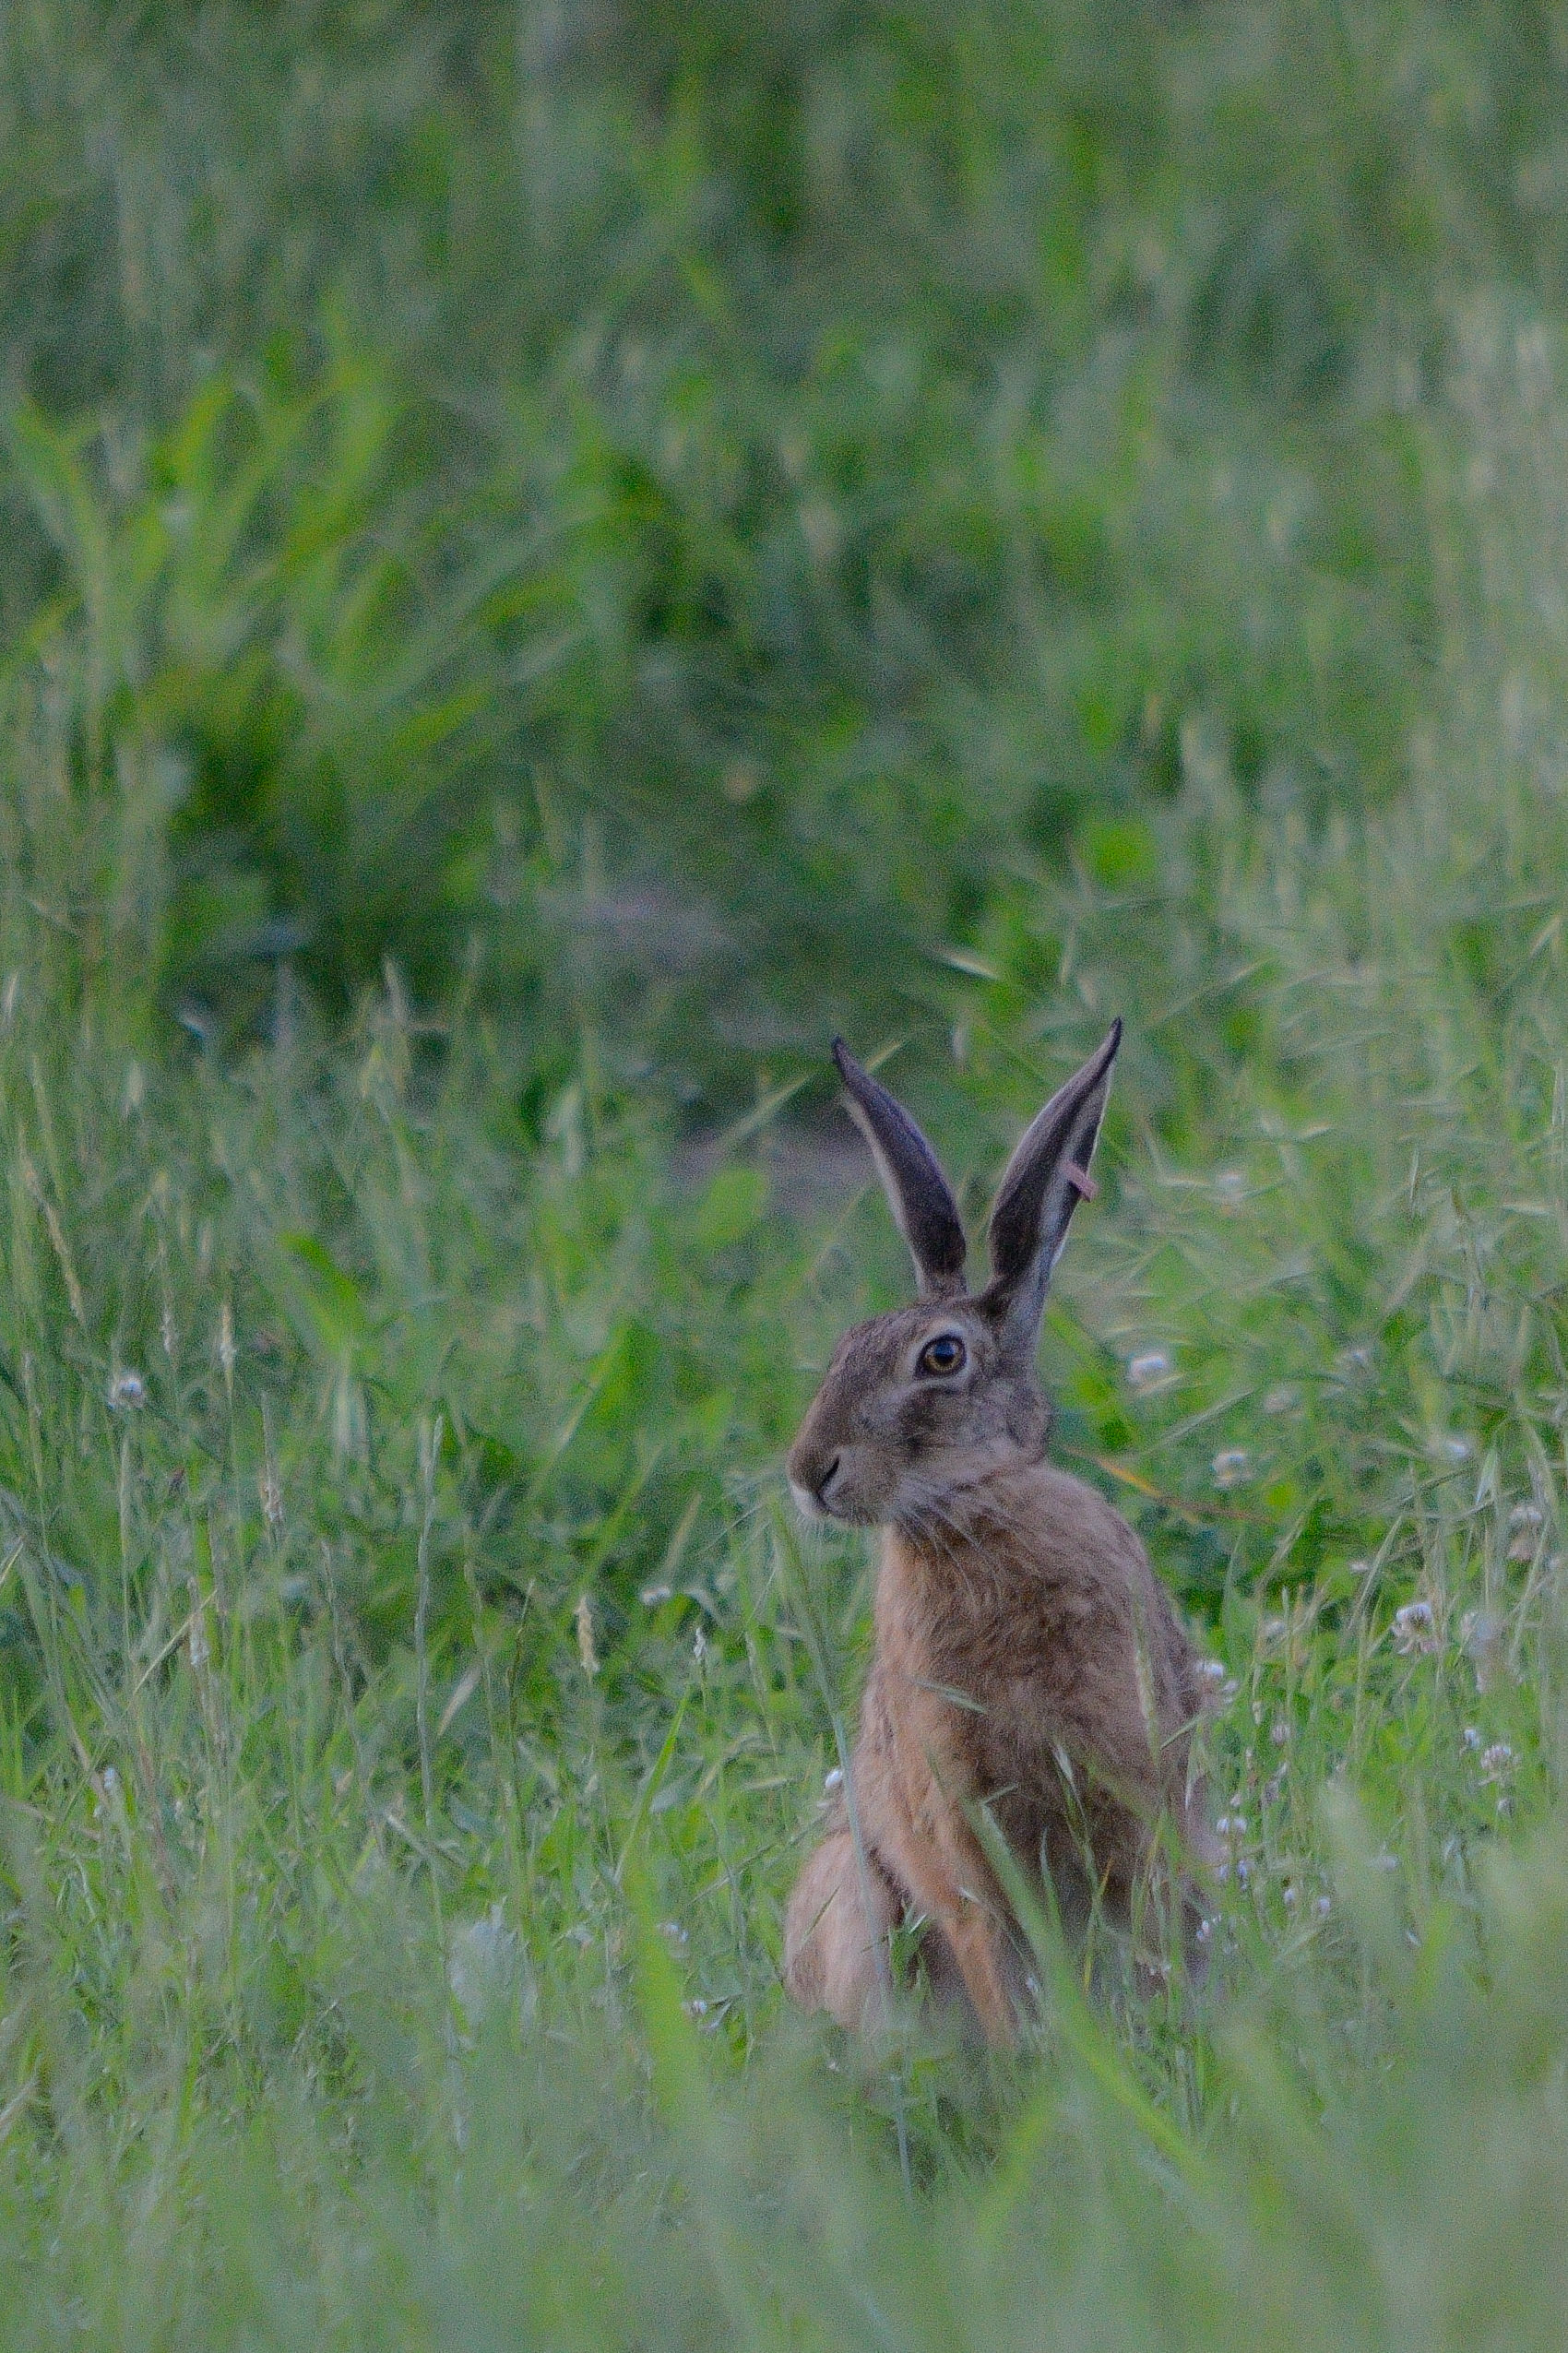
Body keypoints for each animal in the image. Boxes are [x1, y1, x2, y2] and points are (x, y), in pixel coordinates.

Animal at [782, 1022, 1214, 2046]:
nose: (808, 1472)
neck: (975, 1508)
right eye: (842, 1349)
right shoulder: (959, 1826)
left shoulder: (1135, 1784)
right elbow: (996, 1955)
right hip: (860, 1895)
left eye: (941, 1357)